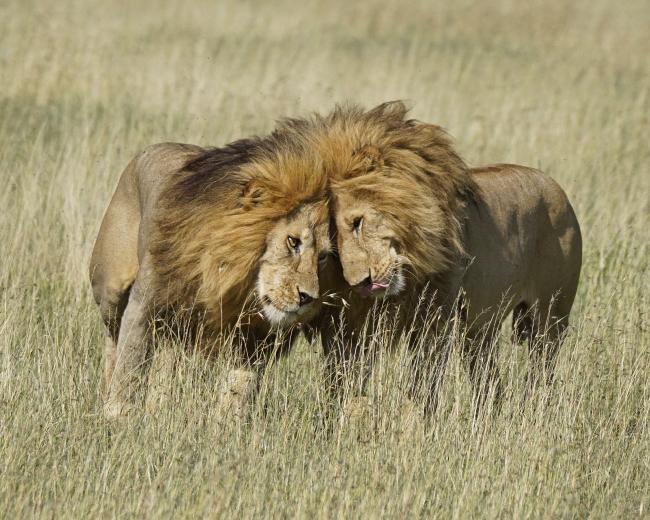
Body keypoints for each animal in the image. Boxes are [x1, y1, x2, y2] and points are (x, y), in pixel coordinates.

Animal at [90, 132, 330, 420]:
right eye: (293, 241)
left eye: (323, 257)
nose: (308, 297)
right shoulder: (143, 305)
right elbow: (131, 365)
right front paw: (118, 415)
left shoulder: (252, 337)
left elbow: (240, 386)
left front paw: (226, 426)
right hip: (111, 289)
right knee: (112, 339)